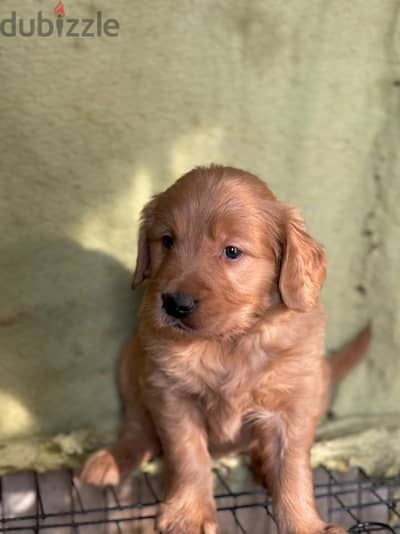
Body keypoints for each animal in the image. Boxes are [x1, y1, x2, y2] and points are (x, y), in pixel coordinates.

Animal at [82, 165, 372, 532]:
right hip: (129, 362)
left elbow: (293, 469)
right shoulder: (170, 394)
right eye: (167, 240)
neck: (229, 342)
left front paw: (304, 523)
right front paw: (188, 513)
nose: (175, 304)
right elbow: (188, 456)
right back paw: (112, 458)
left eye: (232, 251)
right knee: (138, 427)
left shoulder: (294, 402)